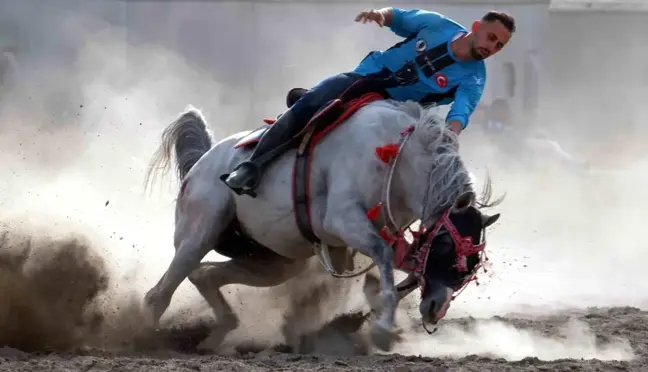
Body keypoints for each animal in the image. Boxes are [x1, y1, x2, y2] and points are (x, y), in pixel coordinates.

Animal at [144, 96, 504, 352]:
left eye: (473, 265)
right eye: (444, 246)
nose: (434, 310)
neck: (399, 158)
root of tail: (203, 162)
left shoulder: (391, 234)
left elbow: (408, 269)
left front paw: (372, 305)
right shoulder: (344, 220)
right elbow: (384, 255)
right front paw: (383, 330)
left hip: (273, 262)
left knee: (204, 275)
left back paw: (214, 338)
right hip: (199, 233)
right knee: (159, 293)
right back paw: (143, 335)